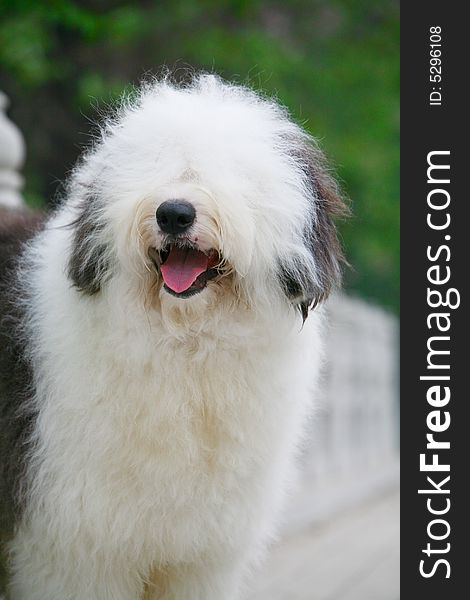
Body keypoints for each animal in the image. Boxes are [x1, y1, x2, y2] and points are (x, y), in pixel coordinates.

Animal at [0, 75, 346, 600]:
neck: (186, 347)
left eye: (234, 175)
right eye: (153, 165)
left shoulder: (199, 556)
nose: (175, 213)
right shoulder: (77, 547)